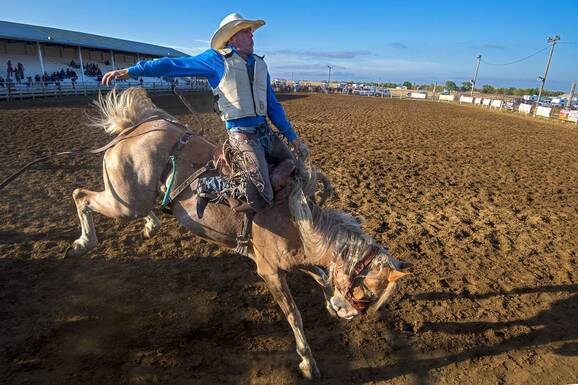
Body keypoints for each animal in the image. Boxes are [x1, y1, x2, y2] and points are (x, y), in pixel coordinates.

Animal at [3, 88, 410, 378]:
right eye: (367, 291)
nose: (349, 316)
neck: (298, 221)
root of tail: (134, 128)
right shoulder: (269, 270)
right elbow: (295, 314)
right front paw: (309, 363)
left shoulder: (298, 260)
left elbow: (322, 275)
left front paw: (326, 300)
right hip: (123, 201)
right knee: (80, 195)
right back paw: (82, 242)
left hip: (137, 196)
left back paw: (151, 222)